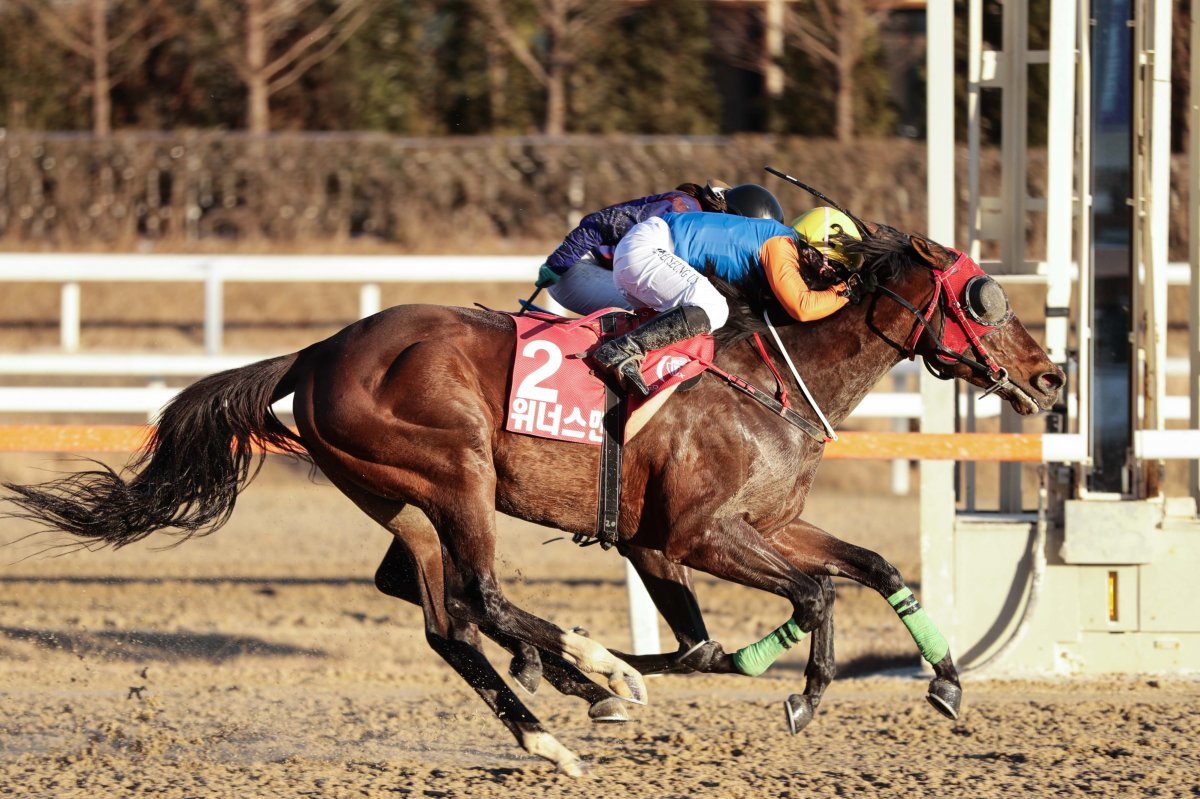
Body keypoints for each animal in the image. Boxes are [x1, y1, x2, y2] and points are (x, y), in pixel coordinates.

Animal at [7, 219, 1060, 772]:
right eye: (986, 298)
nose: (1050, 377)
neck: (767, 377)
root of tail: (318, 349)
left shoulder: (763, 523)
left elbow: (858, 570)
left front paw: (946, 678)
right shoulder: (689, 536)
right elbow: (803, 599)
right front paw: (790, 688)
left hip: (401, 499)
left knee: (442, 615)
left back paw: (551, 724)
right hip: (458, 472)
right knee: (480, 596)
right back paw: (586, 672)